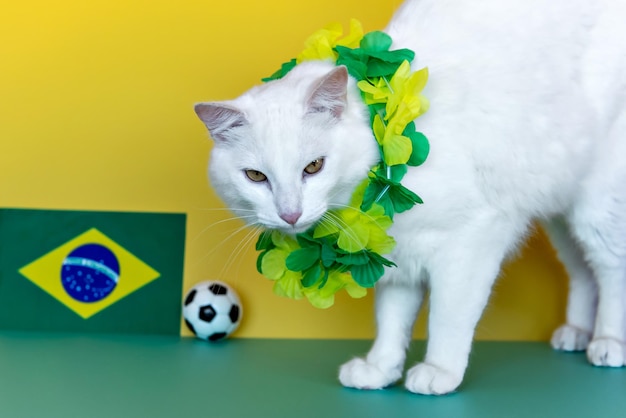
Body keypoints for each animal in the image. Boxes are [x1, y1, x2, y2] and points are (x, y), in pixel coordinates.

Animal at [195, 0, 624, 394]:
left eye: (314, 167)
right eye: (256, 177)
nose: (289, 214)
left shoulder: (472, 241)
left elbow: (447, 317)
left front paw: (439, 372)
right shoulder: (397, 253)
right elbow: (392, 319)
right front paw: (380, 369)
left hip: (596, 210)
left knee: (610, 269)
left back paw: (608, 342)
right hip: (562, 216)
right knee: (582, 272)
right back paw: (576, 332)